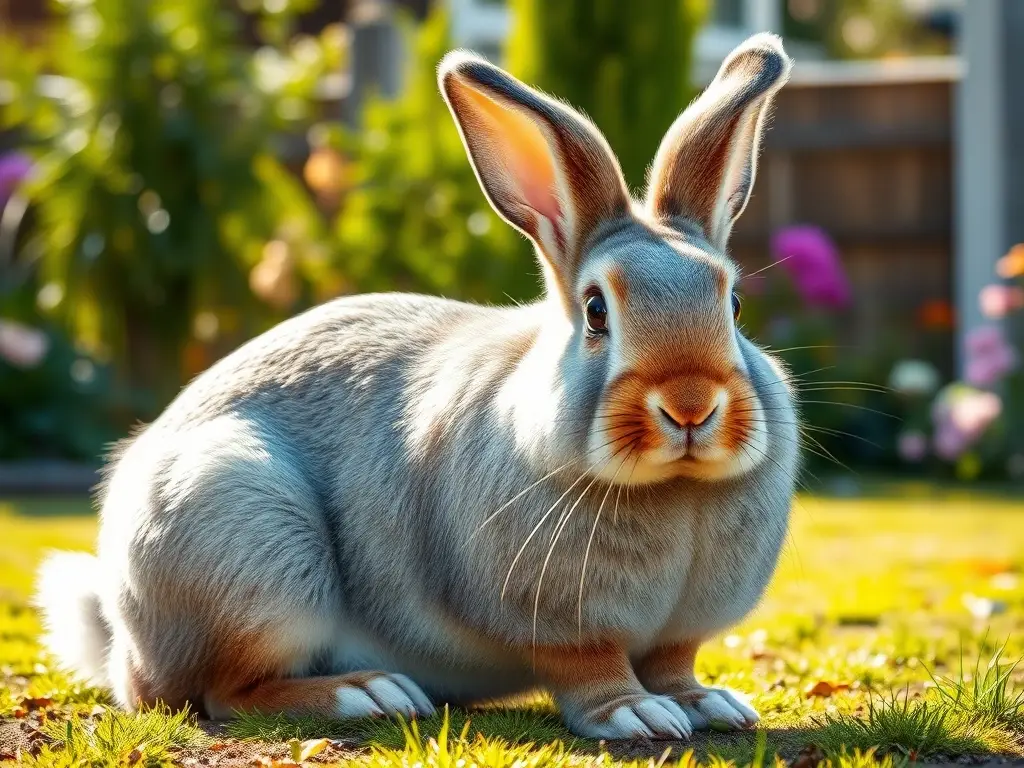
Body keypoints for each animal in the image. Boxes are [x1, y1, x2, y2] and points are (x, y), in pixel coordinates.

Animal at [36, 32, 797, 740]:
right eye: (596, 312)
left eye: (733, 305)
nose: (691, 405)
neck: (676, 490)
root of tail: (123, 636)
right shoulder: (561, 626)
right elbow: (593, 669)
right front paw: (637, 715)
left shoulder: (678, 634)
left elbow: (674, 663)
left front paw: (708, 704)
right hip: (247, 546)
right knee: (225, 692)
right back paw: (367, 693)